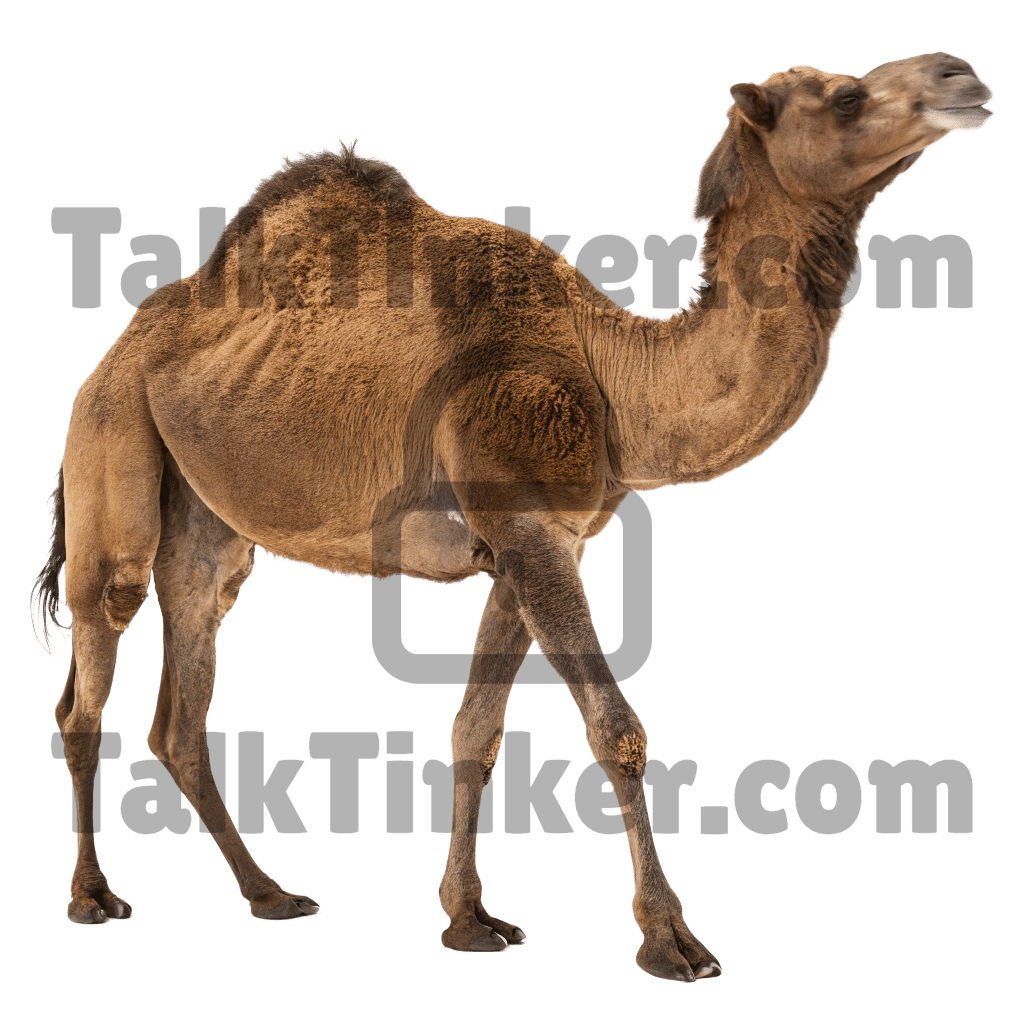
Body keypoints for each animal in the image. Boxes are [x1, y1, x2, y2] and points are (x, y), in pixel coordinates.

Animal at [31, 51, 994, 984]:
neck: (613, 372)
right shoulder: (530, 530)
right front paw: (670, 942)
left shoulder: (529, 544)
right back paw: (92, 898)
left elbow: (476, 730)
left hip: (208, 520)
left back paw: (271, 895)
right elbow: (617, 729)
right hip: (112, 444)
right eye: (845, 97)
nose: (963, 76)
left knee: (184, 691)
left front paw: (469, 920)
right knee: (89, 675)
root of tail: (111, 355)